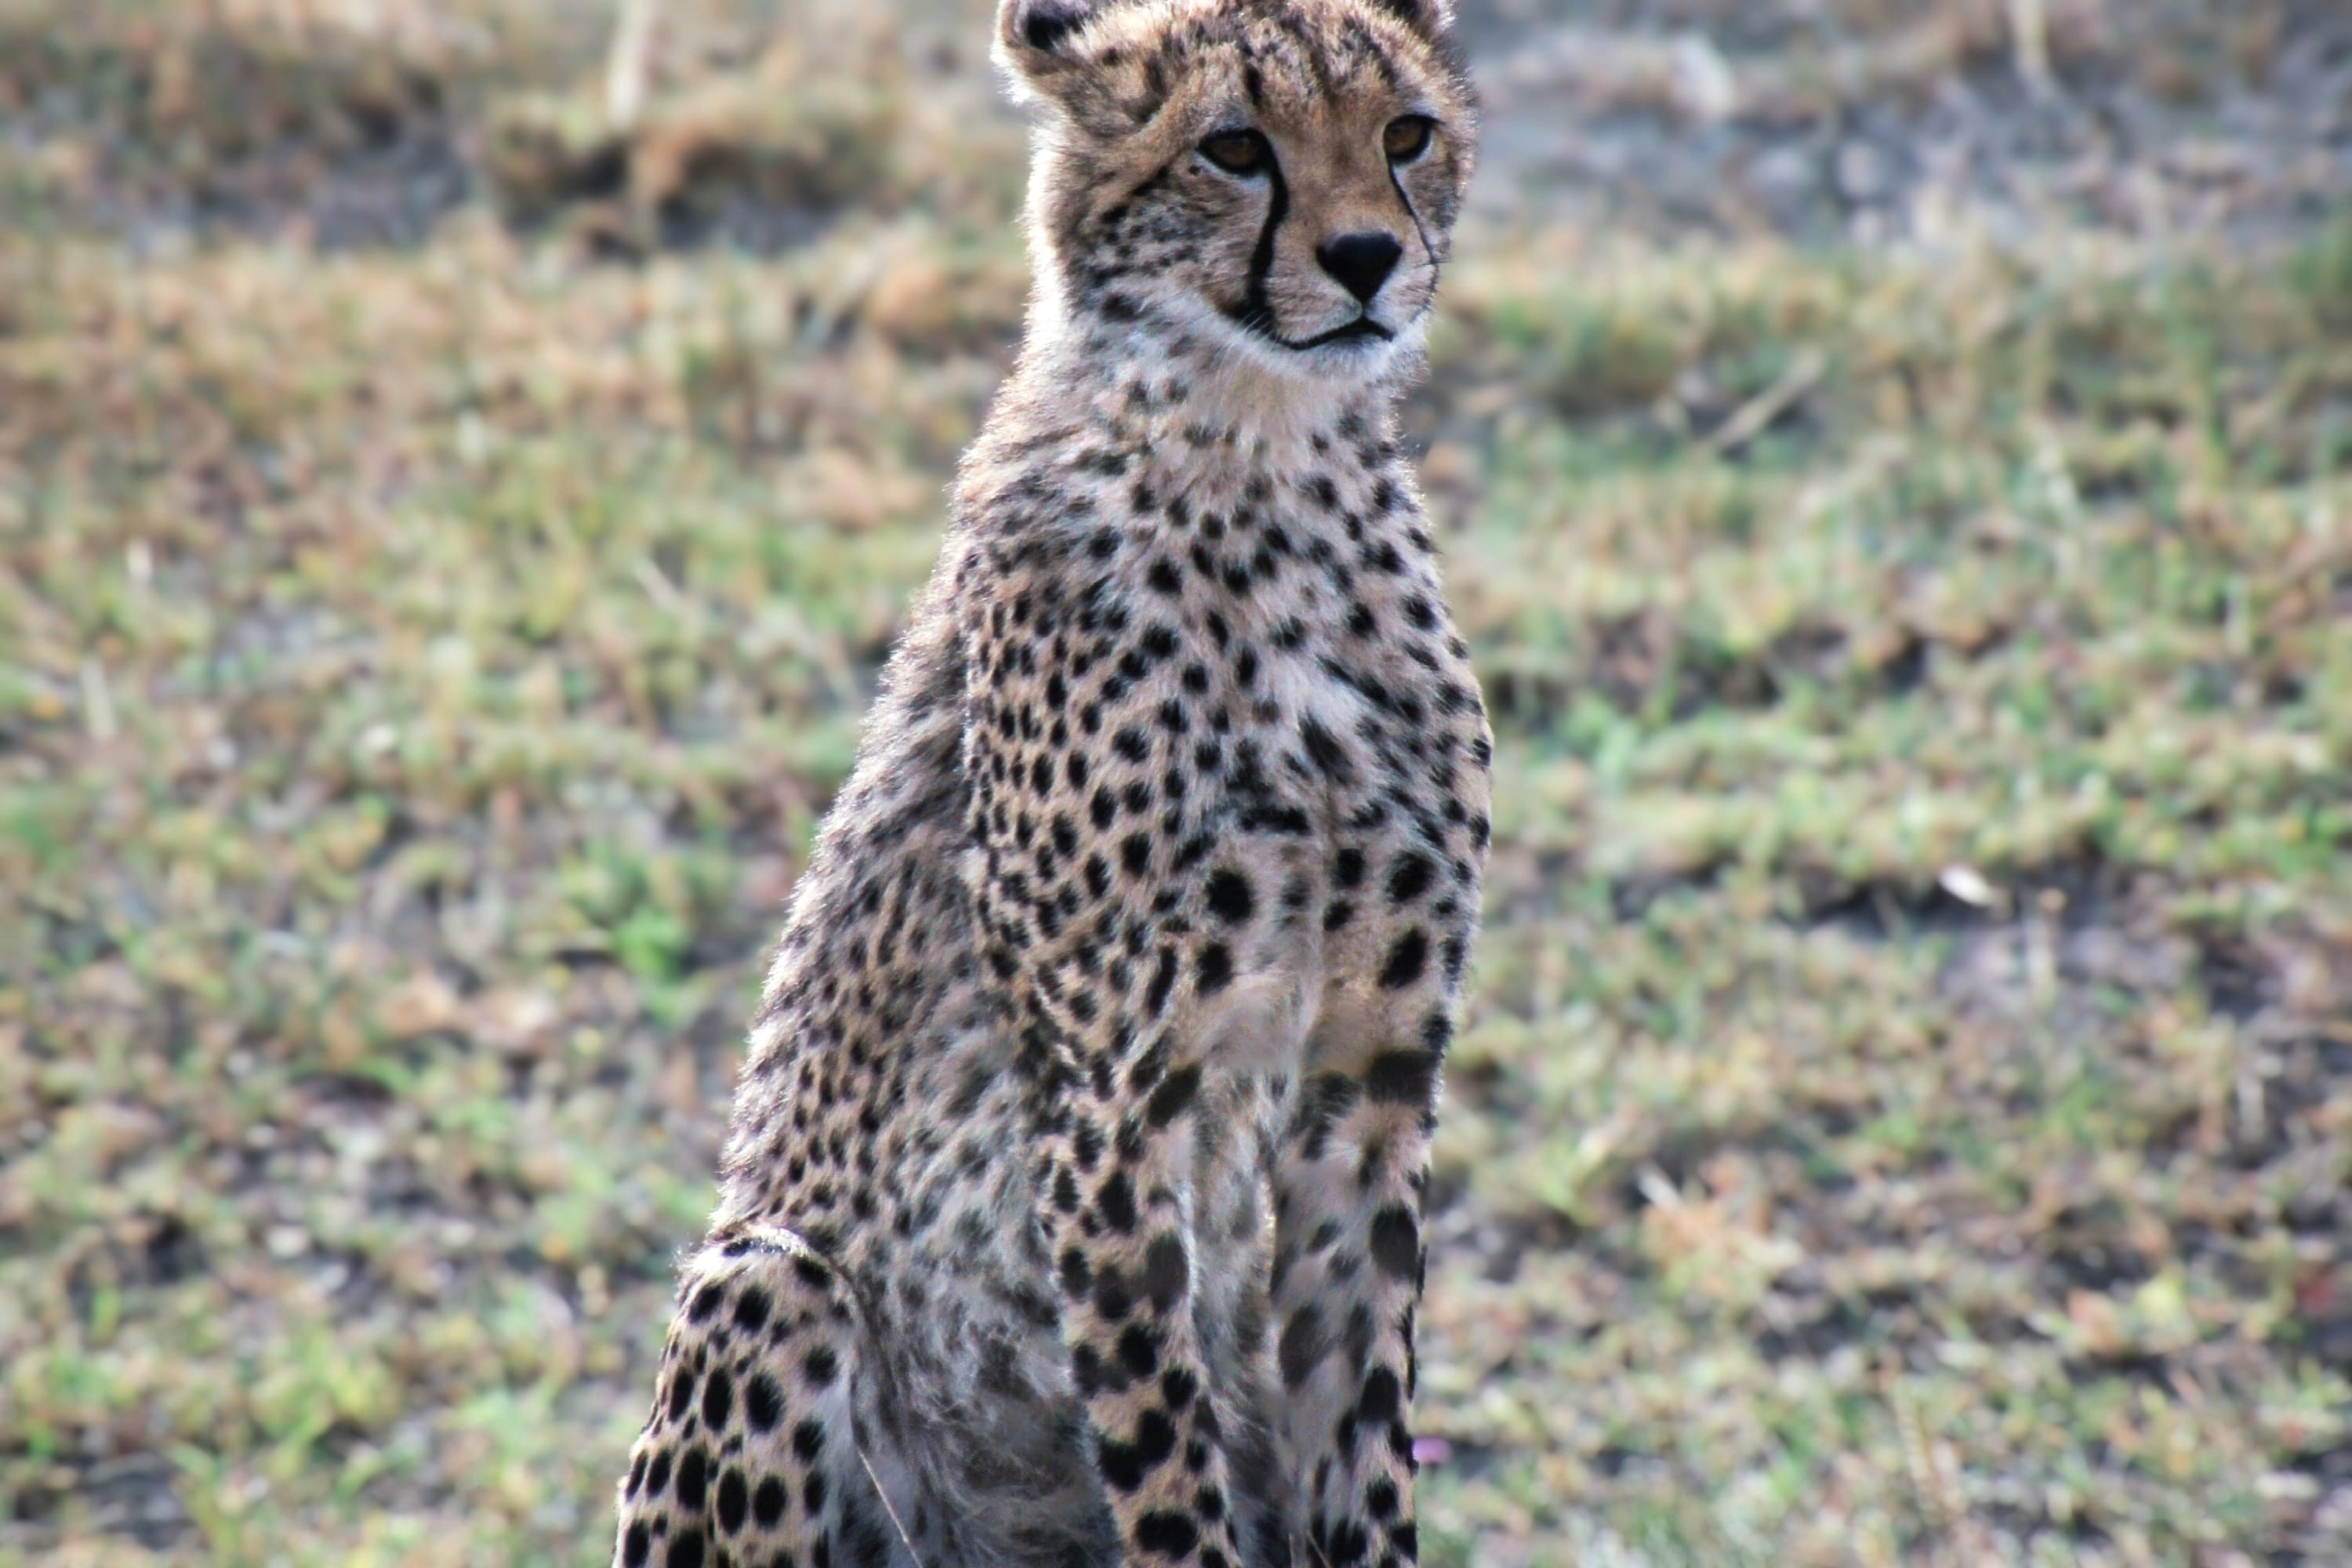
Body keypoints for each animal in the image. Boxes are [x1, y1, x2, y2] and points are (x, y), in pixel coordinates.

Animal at [610, 1, 1487, 1564]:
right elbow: (1164, 1466)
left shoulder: (1372, 1075)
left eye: (1406, 132)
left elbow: (1363, 1429)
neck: (1263, 456)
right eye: (1233, 148)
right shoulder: (1106, 1100)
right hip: (765, 1280)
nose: (1366, 259)